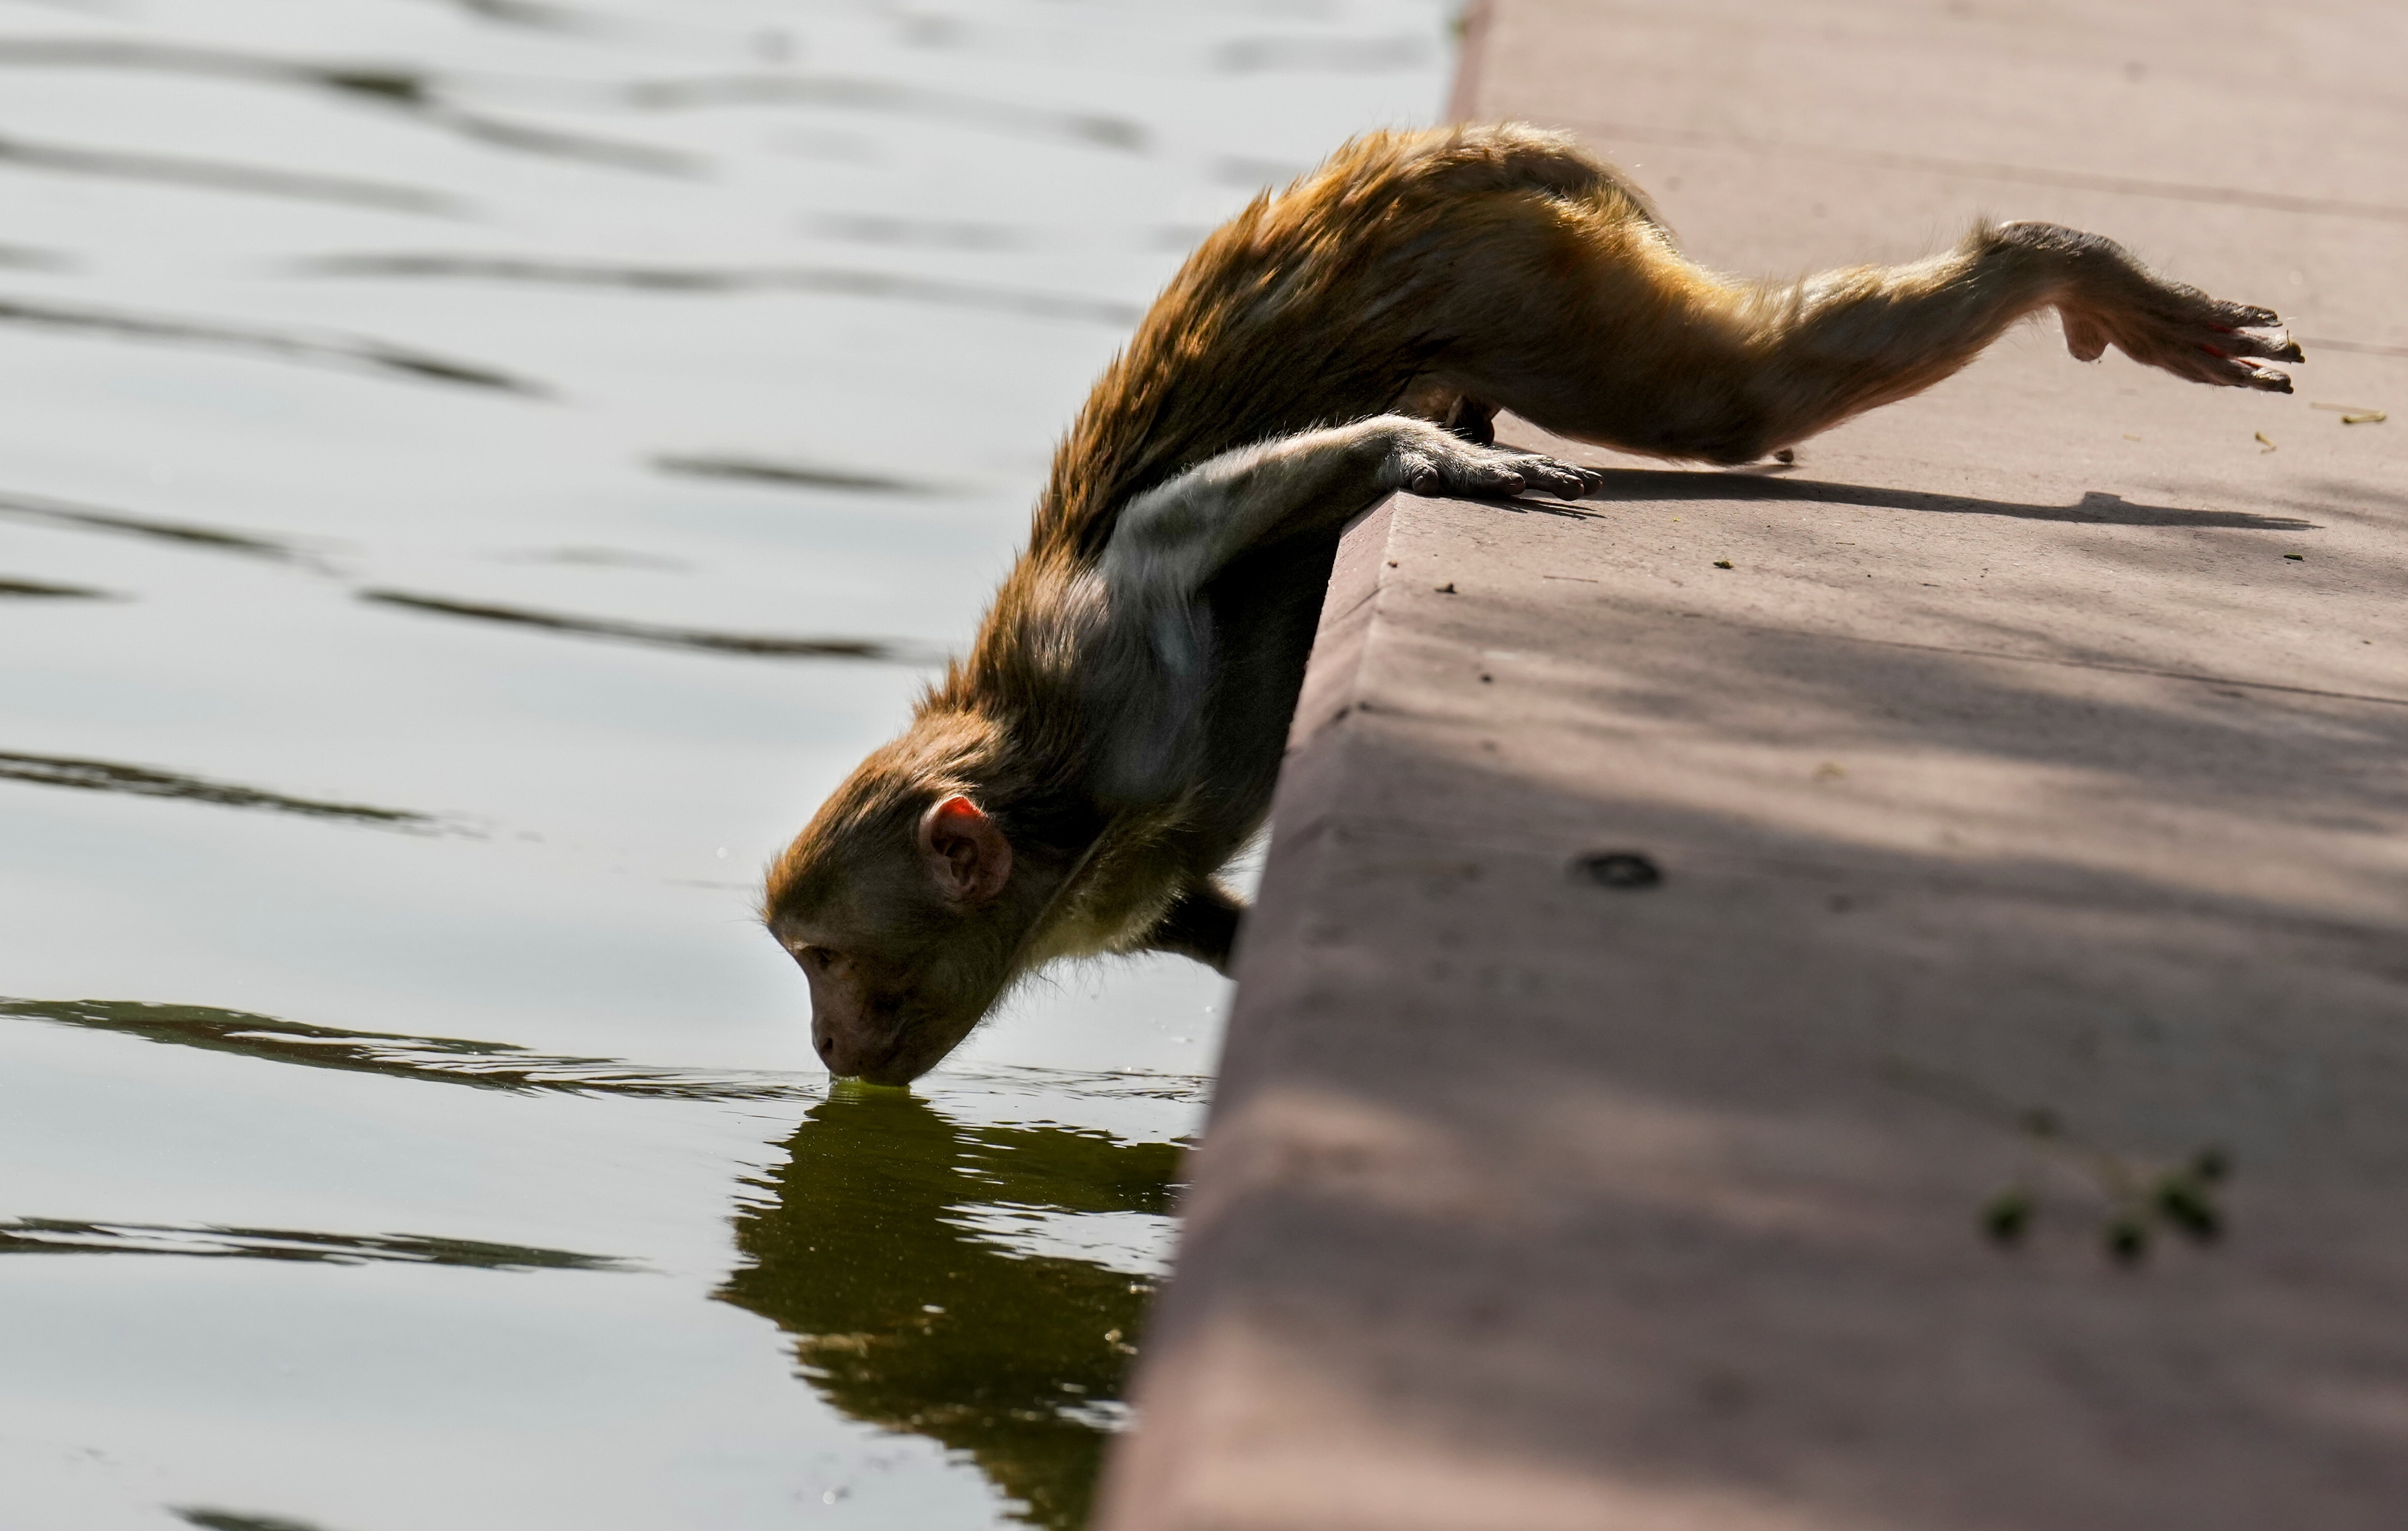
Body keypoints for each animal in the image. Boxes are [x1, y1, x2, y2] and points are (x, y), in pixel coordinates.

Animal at [761, 122, 2300, 1085]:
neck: (1059, 827)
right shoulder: (1116, 884)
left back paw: (2057, 258)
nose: (824, 1043)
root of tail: (1431, 161)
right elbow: (1208, 914)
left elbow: (1173, 532)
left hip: (1515, 268)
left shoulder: (1103, 661)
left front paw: (1410, 456)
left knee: (1726, 398)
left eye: (827, 956)